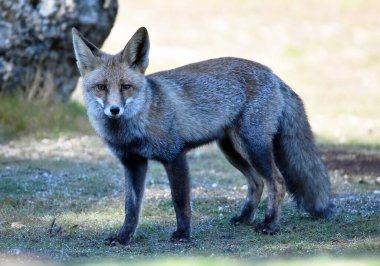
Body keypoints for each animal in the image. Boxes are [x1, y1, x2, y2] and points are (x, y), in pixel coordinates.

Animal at [72, 27, 334, 245]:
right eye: (101, 87)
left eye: (126, 87)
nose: (114, 110)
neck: (135, 129)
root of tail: (273, 74)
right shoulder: (132, 163)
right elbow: (131, 208)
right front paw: (123, 237)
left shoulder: (175, 156)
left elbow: (180, 201)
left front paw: (182, 234)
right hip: (232, 150)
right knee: (257, 182)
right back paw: (244, 218)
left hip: (253, 147)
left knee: (277, 182)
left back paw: (269, 225)